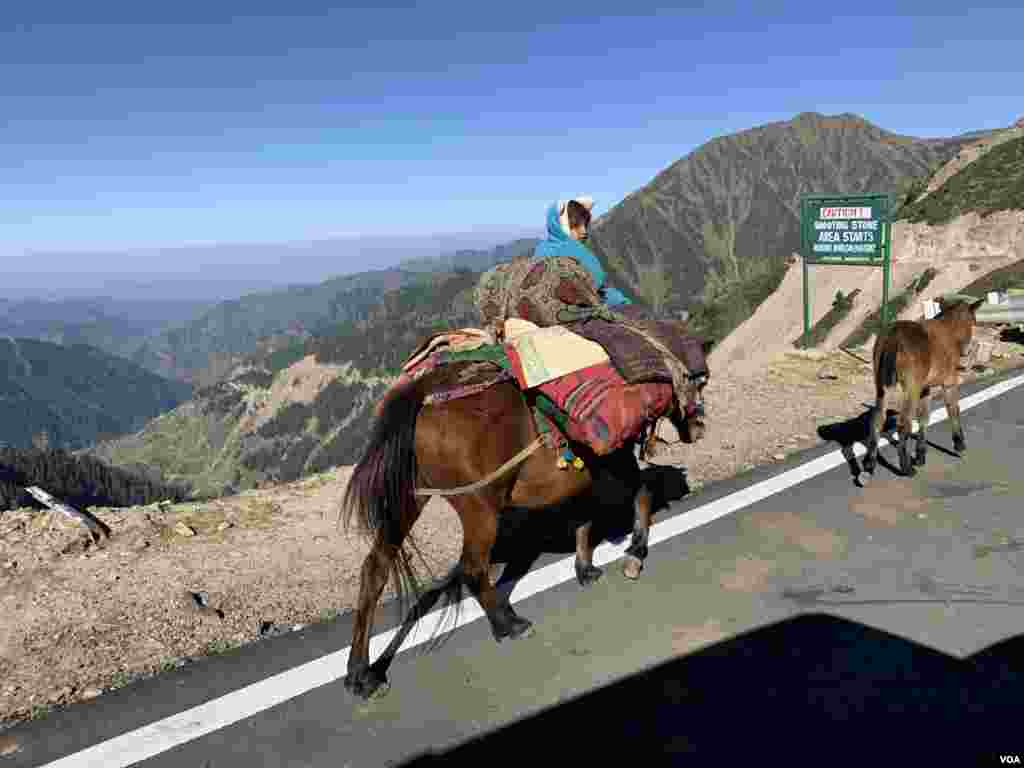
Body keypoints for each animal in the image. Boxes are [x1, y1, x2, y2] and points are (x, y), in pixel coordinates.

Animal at [339, 339, 708, 700]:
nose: (699, 426)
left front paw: (585, 568)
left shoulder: (584, 474)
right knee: (472, 567)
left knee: (375, 569)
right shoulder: (612, 459)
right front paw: (635, 551)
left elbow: (584, 516)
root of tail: (422, 393)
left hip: (408, 501)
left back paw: (361, 676)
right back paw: (509, 625)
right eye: (693, 382)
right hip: (478, 505)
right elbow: (640, 492)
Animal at [860, 296, 987, 483]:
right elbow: (953, 409)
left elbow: (924, 417)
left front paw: (920, 455)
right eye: (974, 321)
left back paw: (868, 467)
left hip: (882, 383)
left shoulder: (925, 387)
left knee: (877, 418)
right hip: (911, 386)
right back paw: (906, 467)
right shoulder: (948, 381)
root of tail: (893, 338)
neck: (951, 330)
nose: (965, 350)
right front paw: (959, 444)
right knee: (903, 422)